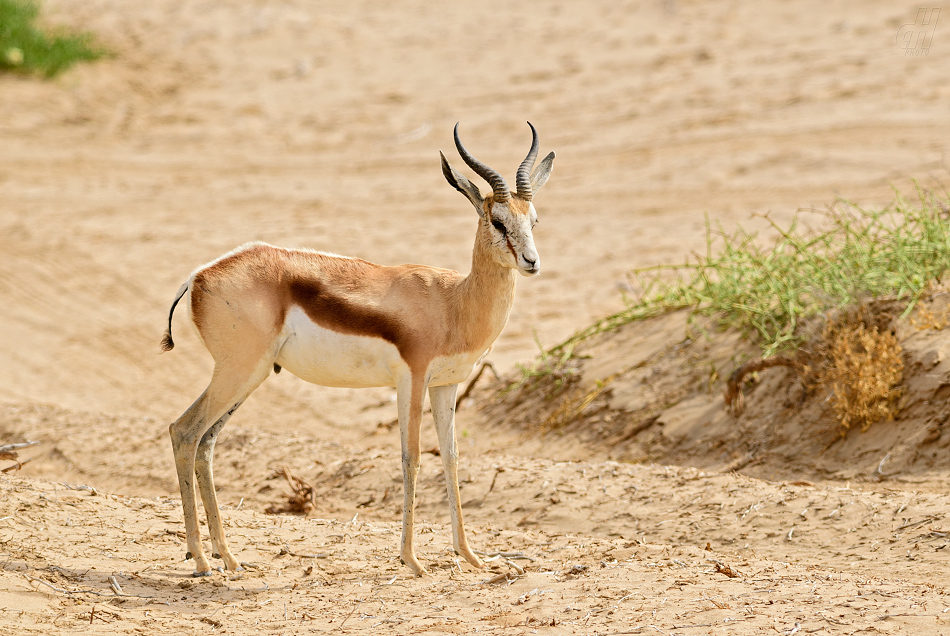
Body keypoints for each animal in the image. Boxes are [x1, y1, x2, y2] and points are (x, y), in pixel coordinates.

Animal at [160, 123, 556, 576]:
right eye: (497, 220)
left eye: (534, 219)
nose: (531, 261)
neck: (453, 302)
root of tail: (200, 275)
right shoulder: (413, 379)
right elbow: (411, 456)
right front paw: (411, 560)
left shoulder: (446, 385)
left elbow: (451, 457)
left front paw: (470, 556)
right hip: (239, 371)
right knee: (184, 431)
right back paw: (200, 559)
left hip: (249, 376)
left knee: (206, 443)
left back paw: (226, 556)